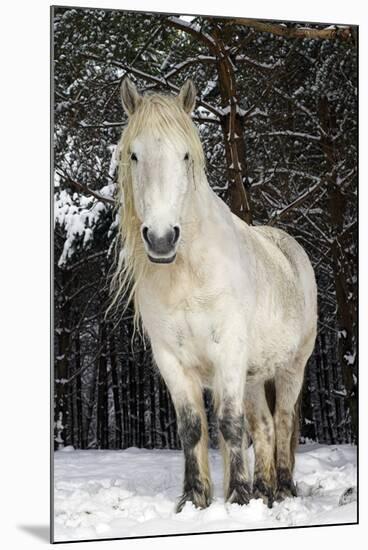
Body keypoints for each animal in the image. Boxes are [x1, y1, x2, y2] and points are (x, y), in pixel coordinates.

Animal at [111, 77, 316, 512]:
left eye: (186, 155)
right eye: (134, 155)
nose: (161, 238)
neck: (188, 273)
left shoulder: (229, 352)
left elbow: (230, 425)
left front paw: (237, 498)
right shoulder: (172, 360)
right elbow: (193, 428)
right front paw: (195, 500)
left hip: (292, 367)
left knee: (284, 420)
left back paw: (283, 490)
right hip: (255, 375)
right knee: (266, 426)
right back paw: (265, 490)